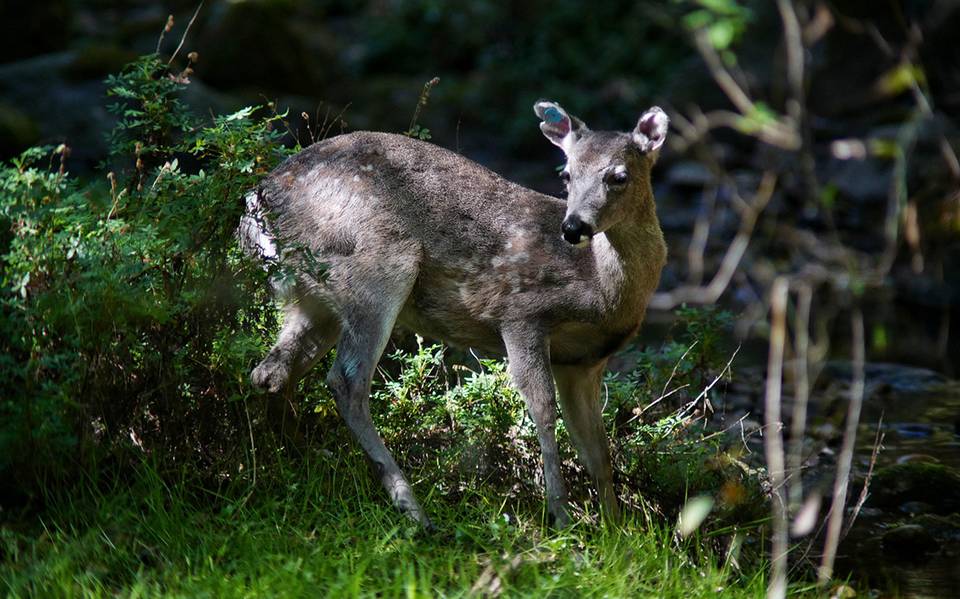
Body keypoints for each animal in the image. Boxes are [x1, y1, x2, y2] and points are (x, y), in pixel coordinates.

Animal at [240, 101, 668, 528]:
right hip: (377, 264)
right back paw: (411, 507)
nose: (574, 226)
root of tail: (258, 203)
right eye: (565, 174)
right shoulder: (520, 312)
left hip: (316, 301)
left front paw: (614, 525)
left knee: (272, 372)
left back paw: (301, 463)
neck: (601, 289)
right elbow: (544, 410)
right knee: (346, 381)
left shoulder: (584, 361)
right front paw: (561, 517)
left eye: (619, 176)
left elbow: (596, 446)